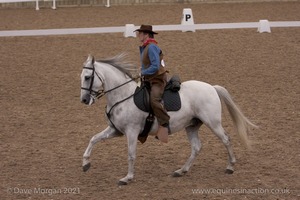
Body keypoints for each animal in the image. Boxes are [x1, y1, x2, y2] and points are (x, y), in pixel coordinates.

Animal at [80, 54, 258, 185]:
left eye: (88, 77)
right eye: (81, 76)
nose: (84, 100)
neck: (123, 96)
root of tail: (212, 87)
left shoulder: (131, 132)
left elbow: (131, 154)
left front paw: (127, 178)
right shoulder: (115, 130)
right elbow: (93, 139)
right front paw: (85, 164)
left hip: (213, 123)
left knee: (226, 139)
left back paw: (230, 166)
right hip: (192, 125)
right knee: (196, 147)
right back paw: (181, 171)